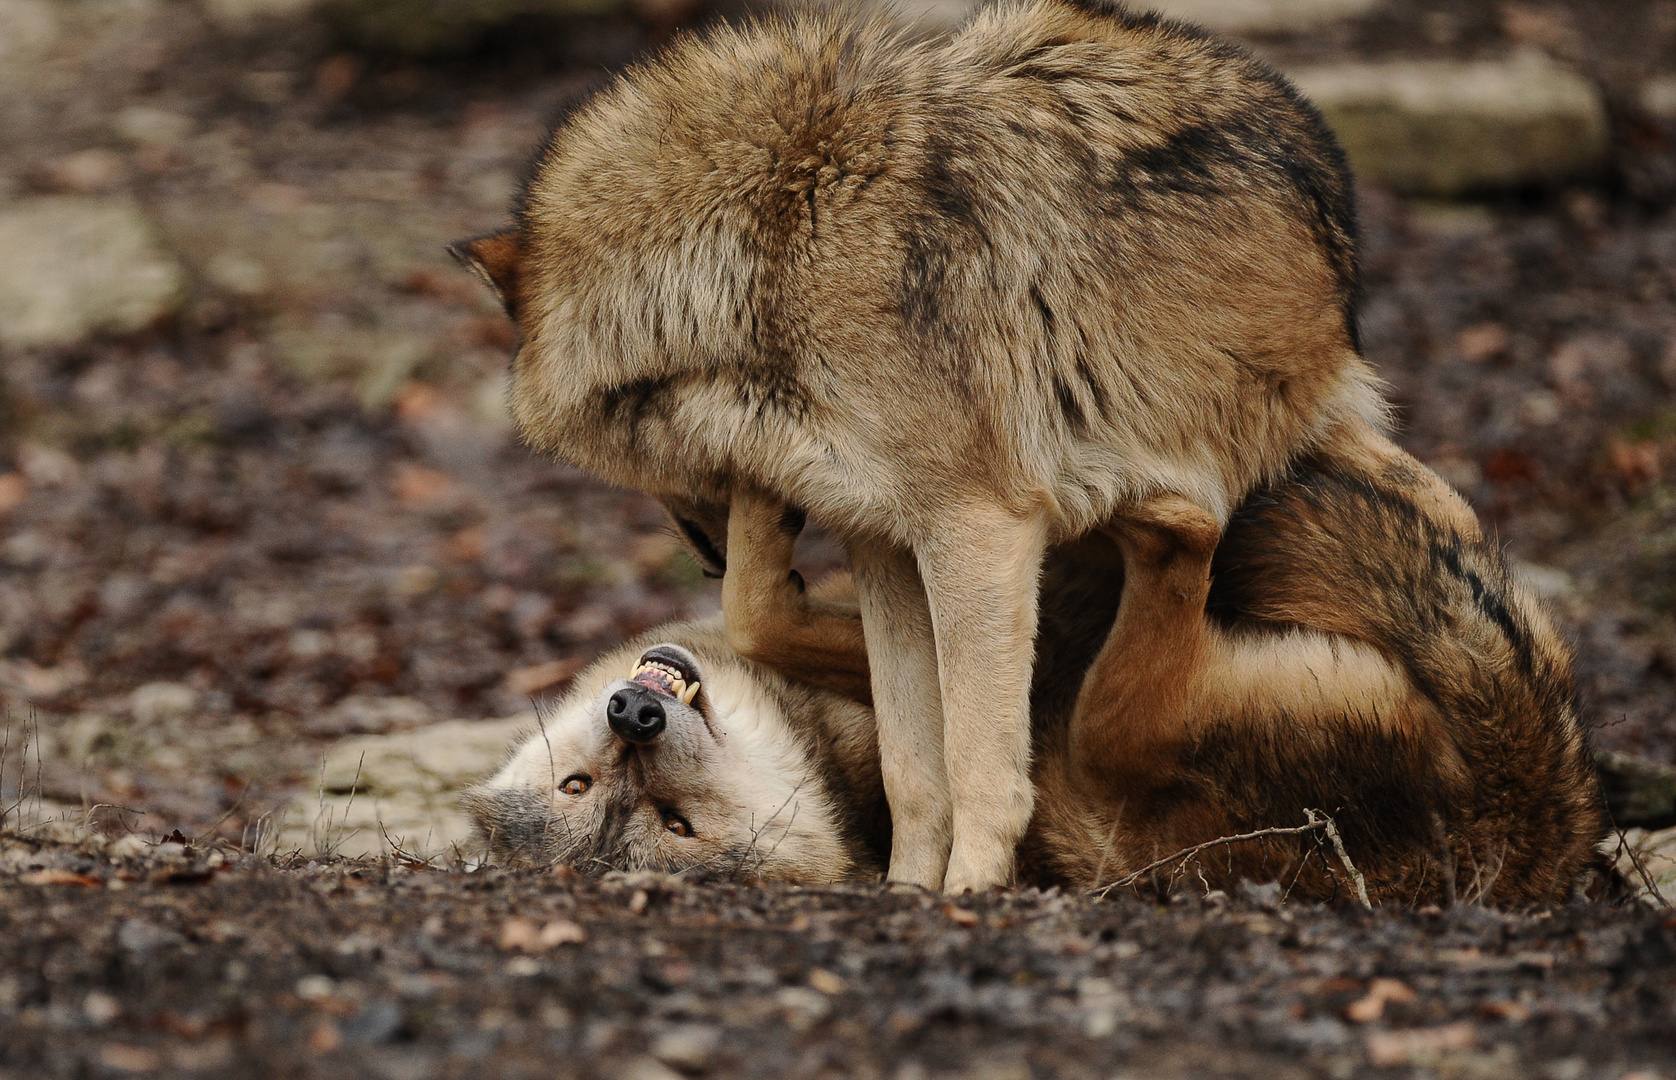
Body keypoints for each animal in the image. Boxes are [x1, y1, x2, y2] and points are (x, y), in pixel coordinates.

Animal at [452, 0, 1381, 892]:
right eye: (577, 786)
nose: (709, 555)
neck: (776, 248)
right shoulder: (883, 542)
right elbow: (910, 764)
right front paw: (905, 888)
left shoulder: (978, 532)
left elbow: (976, 763)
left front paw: (969, 893)